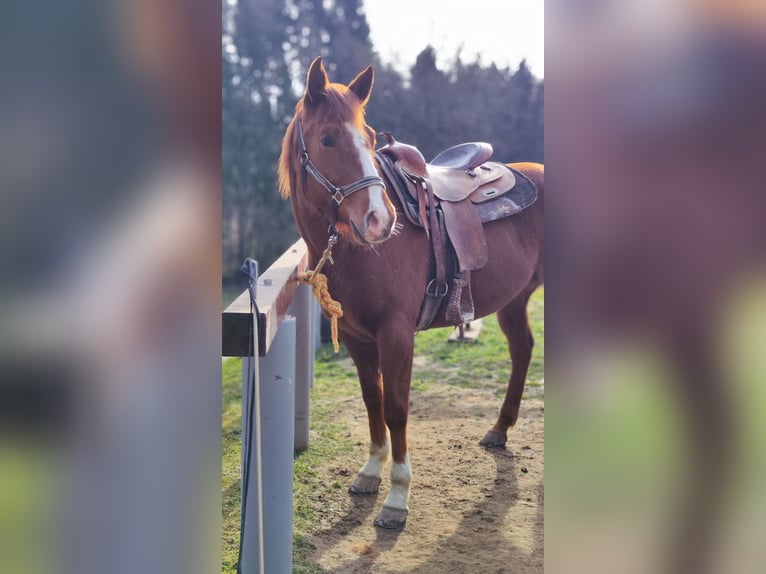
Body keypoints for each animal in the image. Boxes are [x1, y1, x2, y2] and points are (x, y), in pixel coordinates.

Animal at [278, 57, 544, 529]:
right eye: (327, 138)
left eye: (368, 138)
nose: (380, 220)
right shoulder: (357, 338)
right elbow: (373, 401)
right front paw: (370, 473)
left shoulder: (396, 335)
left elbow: (397, 407)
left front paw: (397, 498)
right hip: (514, 299)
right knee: (523, 348)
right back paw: (499, 429)